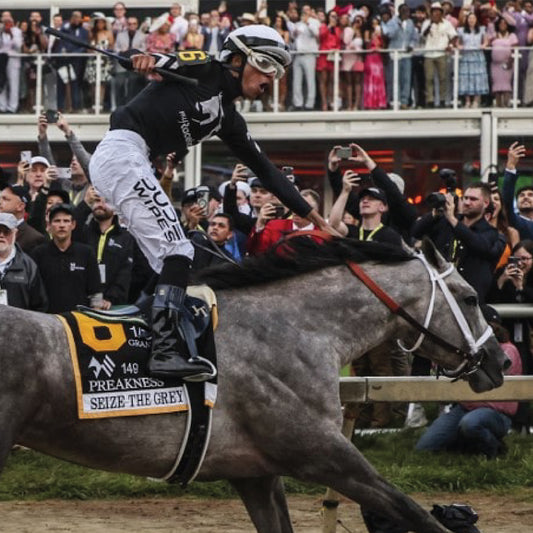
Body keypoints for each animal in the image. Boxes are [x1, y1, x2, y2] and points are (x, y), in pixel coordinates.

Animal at [0, 238, 502, 532]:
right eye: (470, 298)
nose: (497, 362)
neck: (294, 329)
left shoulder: (255, 473)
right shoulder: (324, 455)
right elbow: (413, 513)